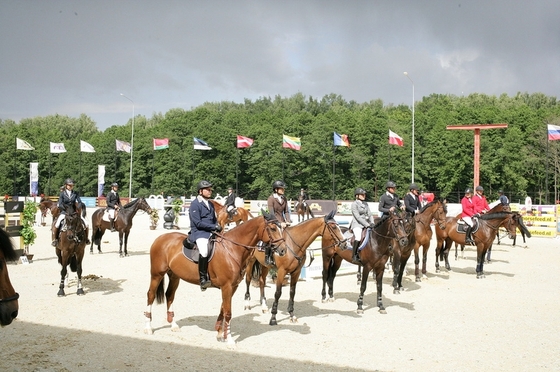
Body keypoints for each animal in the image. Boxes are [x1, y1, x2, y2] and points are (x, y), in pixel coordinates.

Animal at [144, 211, 286, 348]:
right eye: (273, 228)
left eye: (281, 228)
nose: (283, 250)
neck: (232, 249)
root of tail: (160, 238)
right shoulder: (226, 286)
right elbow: (228, 312)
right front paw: (230, 340)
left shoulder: (232, 287)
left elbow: (223, 309)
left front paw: (220, 333)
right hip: (157, 275)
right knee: (151, 295)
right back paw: (148, 328)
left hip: (174, 276)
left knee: (169, 295)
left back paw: (173, 325)